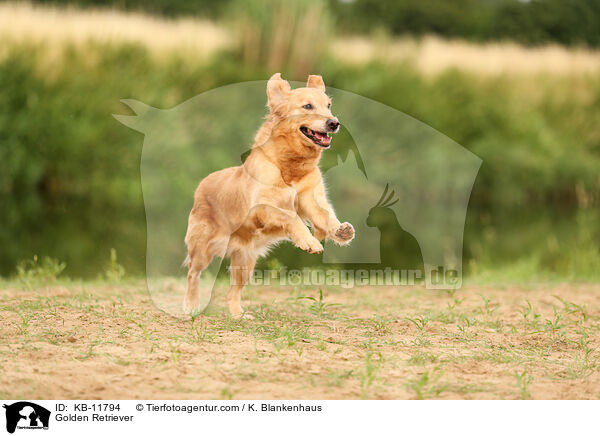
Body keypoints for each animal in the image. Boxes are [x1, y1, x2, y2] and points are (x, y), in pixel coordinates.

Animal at [180, 72, 354, 316]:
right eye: (307, 106)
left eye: (328, 106)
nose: (334, 123)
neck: (290, 164)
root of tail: (201, 186)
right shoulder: (260, 208)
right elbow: (289, 216)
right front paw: (309, 241)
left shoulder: (310, 199)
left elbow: (325, 215)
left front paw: (341, 231)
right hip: (202, 249)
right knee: (192, 274)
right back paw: (190, 306)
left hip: (245, 261)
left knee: (233, 291)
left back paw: (238, 315)